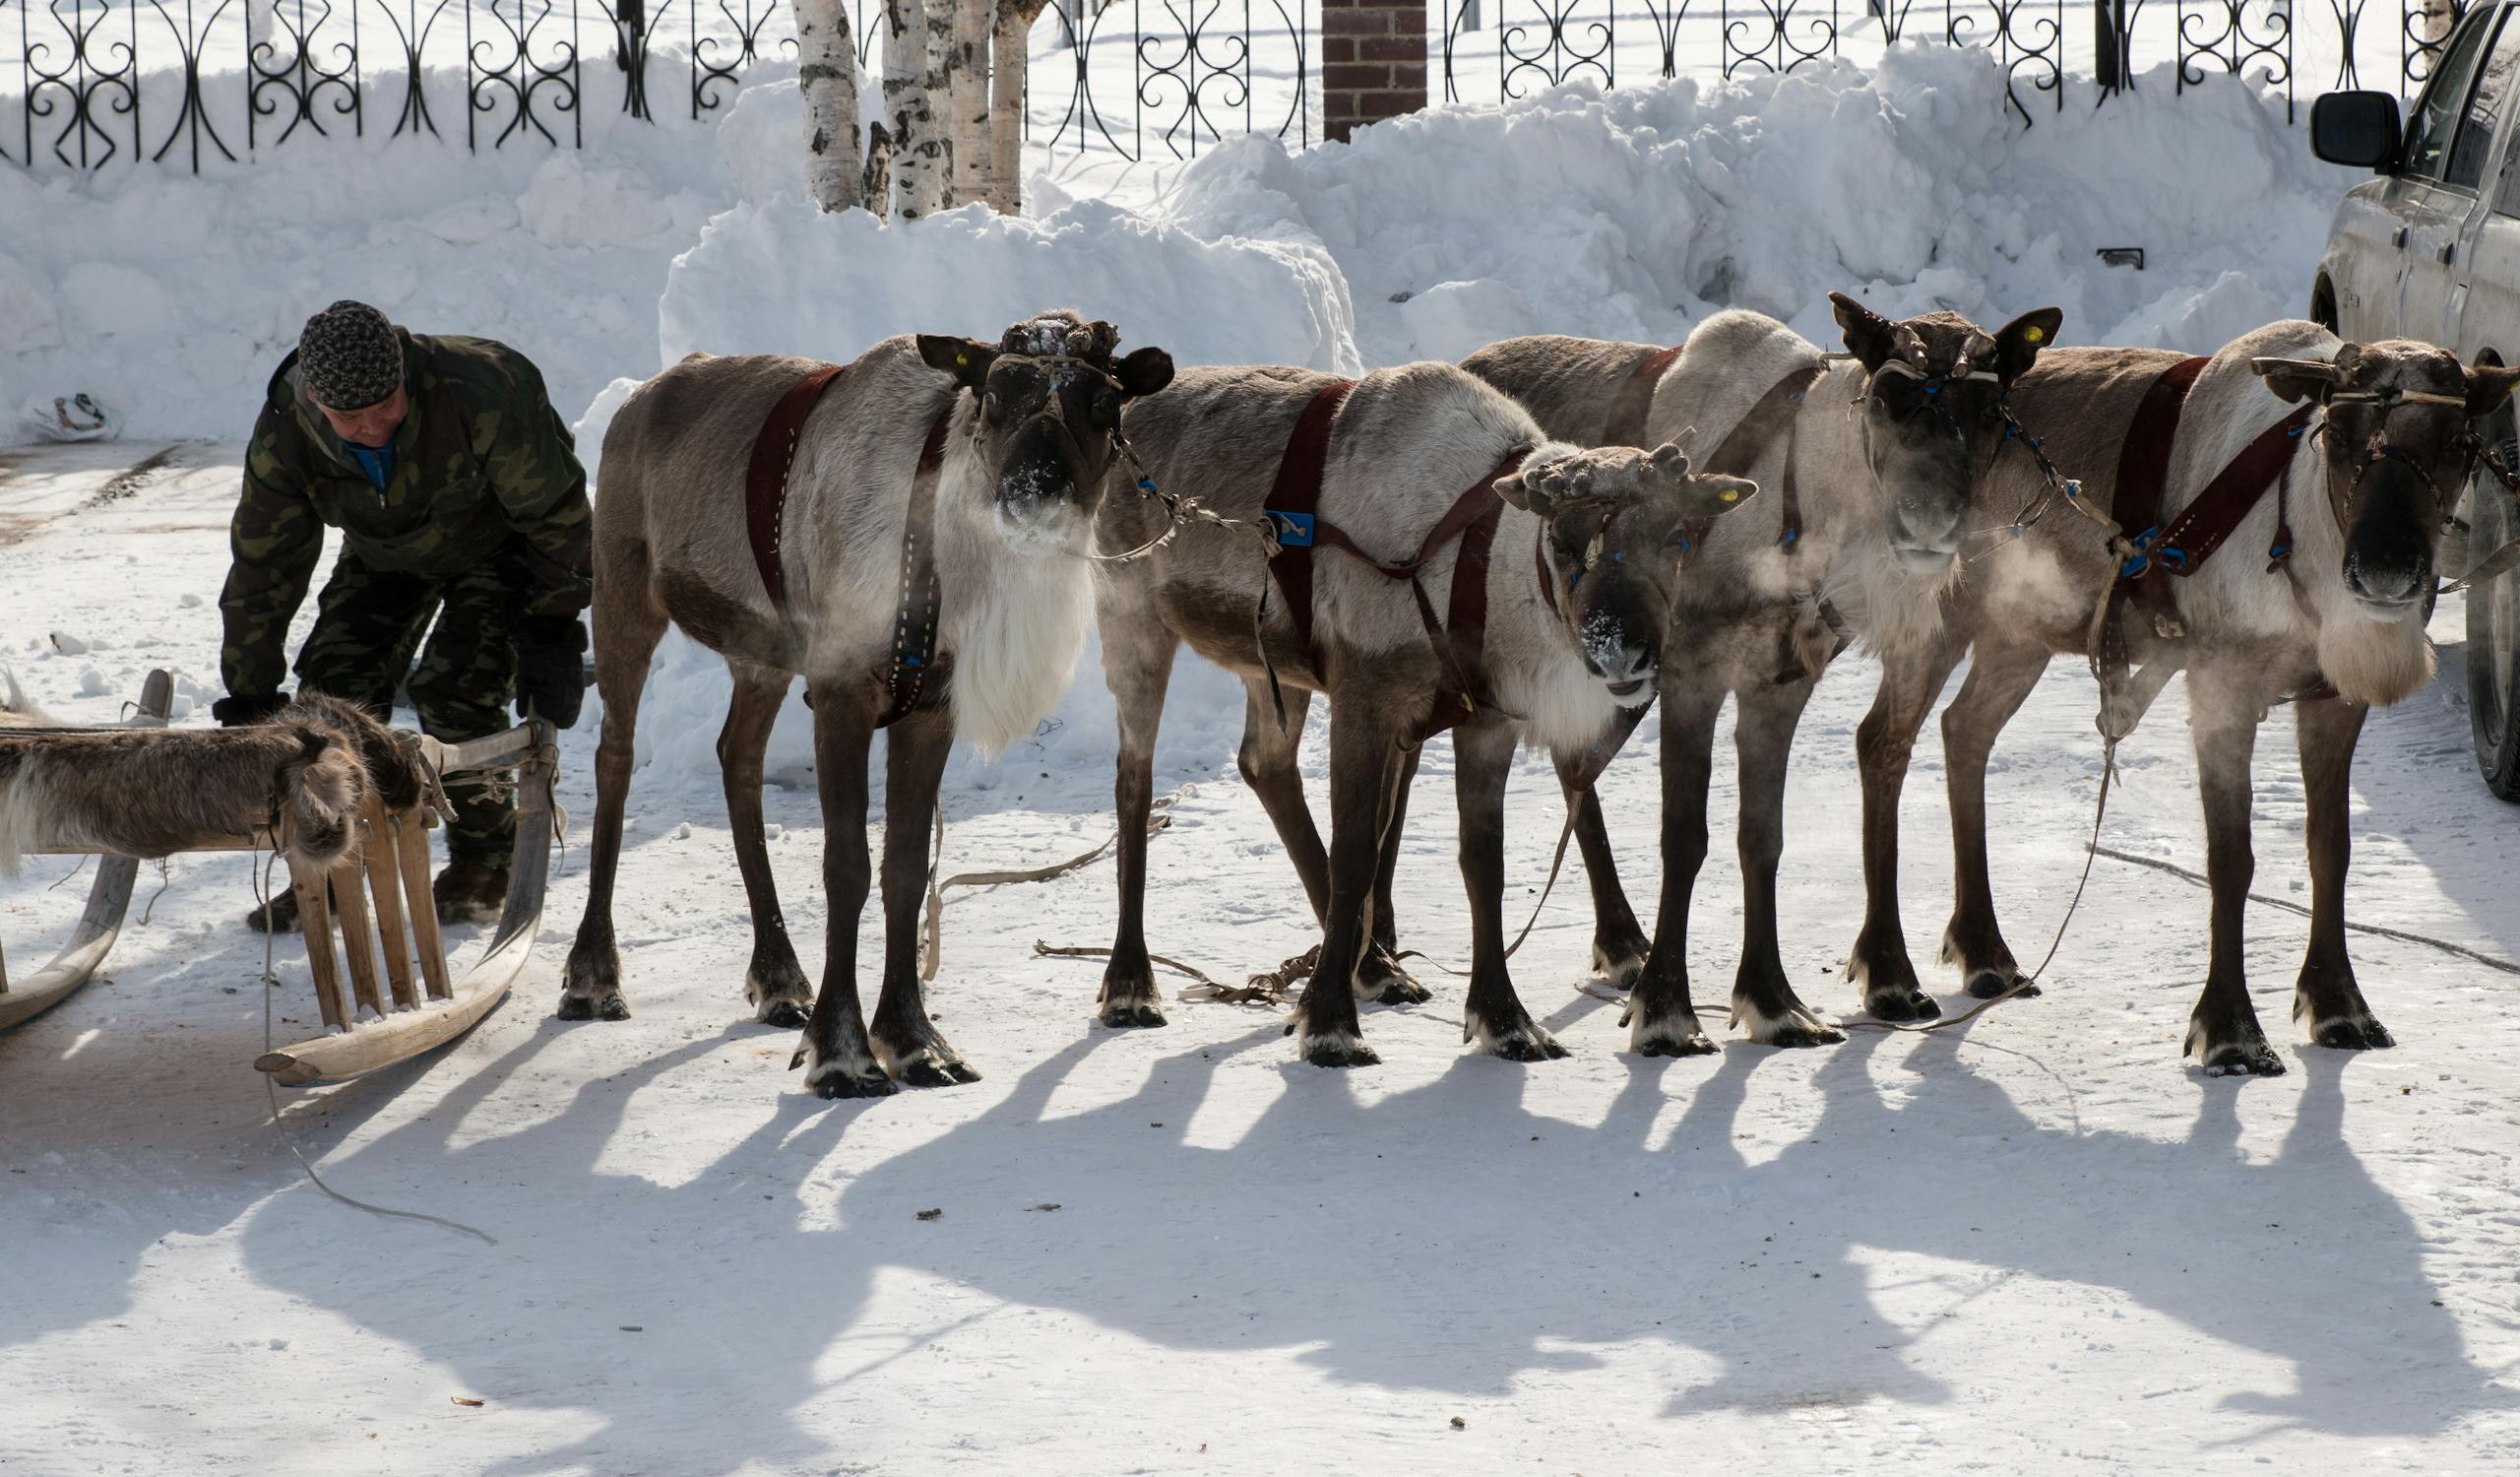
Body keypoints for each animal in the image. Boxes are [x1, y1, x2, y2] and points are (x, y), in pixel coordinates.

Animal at [563, 311, 1174, 1098]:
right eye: (994, 395)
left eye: (1104, 403)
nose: (1034, 493)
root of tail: (641, 398)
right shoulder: (842, 688)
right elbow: (846, 866)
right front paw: (843, 1053)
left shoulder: (930, 704)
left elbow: (906, 870)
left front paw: (916, 1043)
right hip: (622, 591)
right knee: (615, 756)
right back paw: (593, 976)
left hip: (761, 655)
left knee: (737, 757)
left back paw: (780, 979)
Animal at [1092, 361, 1757, 1066]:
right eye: (1562, 541)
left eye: (1678, 537)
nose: (1620, 651)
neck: (1476, 566)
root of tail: (1124, 421)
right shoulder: (1363, 695)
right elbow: (1356, 853)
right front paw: (1330, 1024)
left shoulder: (1486, 722)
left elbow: (1482, 863)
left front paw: (1504, 1019)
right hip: (1133, 620)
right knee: (1134, 784)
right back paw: (1131, 985)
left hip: (1268, 663)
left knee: (1264, 764)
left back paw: (1377, 964)